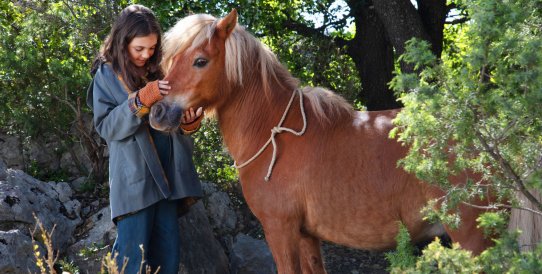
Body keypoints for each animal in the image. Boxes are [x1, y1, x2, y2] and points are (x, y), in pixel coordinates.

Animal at [151, 9, 496, 272]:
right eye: (173, 58)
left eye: (200, 61)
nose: (158, 111)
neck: (275, 133)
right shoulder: (307, 236)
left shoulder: (280, 230)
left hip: (472, 238)